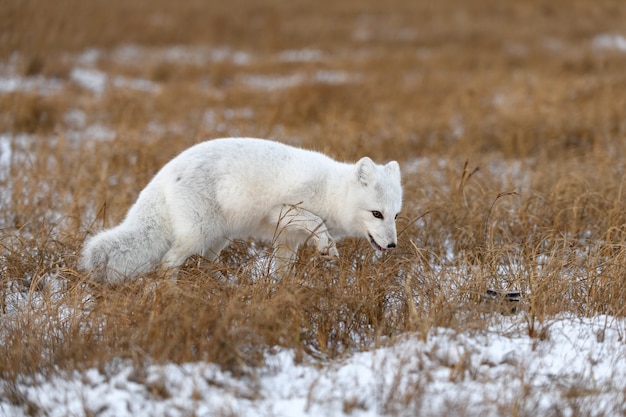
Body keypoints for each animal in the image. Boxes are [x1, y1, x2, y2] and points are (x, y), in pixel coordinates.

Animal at [79, 137, 400, 282]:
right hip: (198, 234)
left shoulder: (287, 239)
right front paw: (327, 248)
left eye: (395, 215)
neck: (332, 191)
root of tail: (165, 173)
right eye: (376, 214)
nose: (393, 246)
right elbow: (317, 223)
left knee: (202, 263)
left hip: (217, 239)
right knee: (167, 262)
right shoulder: (283, 210)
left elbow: (282, 270)